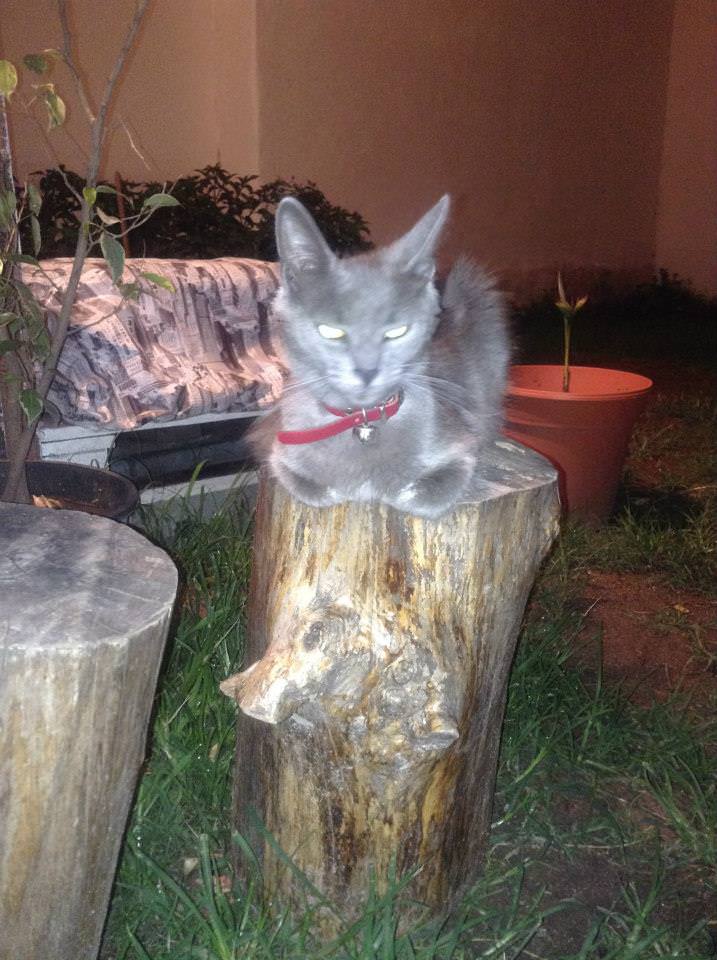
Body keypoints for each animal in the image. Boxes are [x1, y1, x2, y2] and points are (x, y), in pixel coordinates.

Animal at [251, 194, 509, 519]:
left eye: (397, 331)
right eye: (331, 331)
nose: (367, 370)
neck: (362, 421)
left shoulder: (462, 444)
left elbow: (437, 487)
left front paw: (403, 494)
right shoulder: (279, 447)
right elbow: (300, 479)